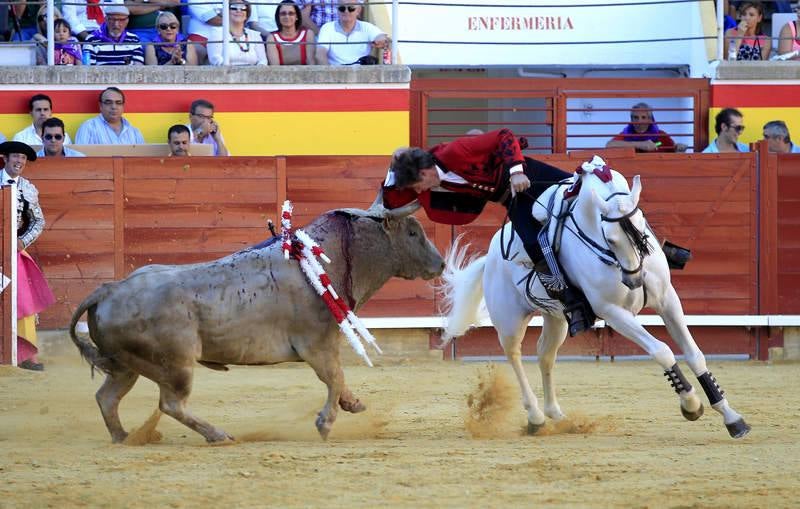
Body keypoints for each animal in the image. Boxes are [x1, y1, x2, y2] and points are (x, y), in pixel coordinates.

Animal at [69, 208, 444, 442]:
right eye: (413, 232)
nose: (440, 264)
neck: (326, 259)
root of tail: (110, 288)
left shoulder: (324, 346)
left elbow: (339, 380)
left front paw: (353, 404)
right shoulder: (317, 345)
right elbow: (334, 377)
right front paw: (325, 423)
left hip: (126, 365)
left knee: (107, 397)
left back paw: (125, 437)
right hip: (177, 364)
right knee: (171, 404)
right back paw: (217, 435)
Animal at [444, 157, 752, 438]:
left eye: (641, 225)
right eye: (611, 238)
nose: (635, 280)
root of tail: (491, 256)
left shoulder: (667, 300)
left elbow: (695, 354)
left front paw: (732, 418)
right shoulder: (612, 311)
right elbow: (662, 350)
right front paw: (690, 404)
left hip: (557, 318)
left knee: (545, 355)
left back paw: (557, 415)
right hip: (508, 320)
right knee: (514, 355)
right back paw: (535, 417)